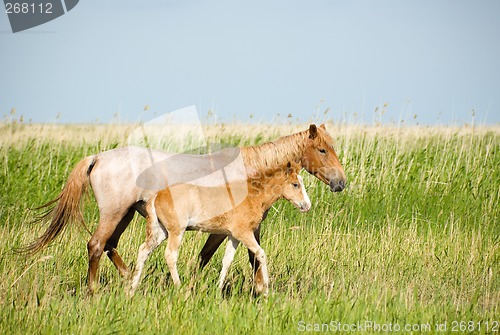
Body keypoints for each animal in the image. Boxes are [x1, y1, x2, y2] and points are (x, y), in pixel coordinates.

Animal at [127, 161, 310, 296]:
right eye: (295, 184)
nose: (307, 205)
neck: (252, 196)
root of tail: (157, 195)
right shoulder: (244, 233)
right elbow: (261, 254)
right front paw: (265, 290)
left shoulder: (233, 236)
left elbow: (227, 260)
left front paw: (218, 288)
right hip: (176, 231)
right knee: (170, 255)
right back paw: (179, 287)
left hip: (161, 232)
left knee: (143, 251)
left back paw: (131, 289)